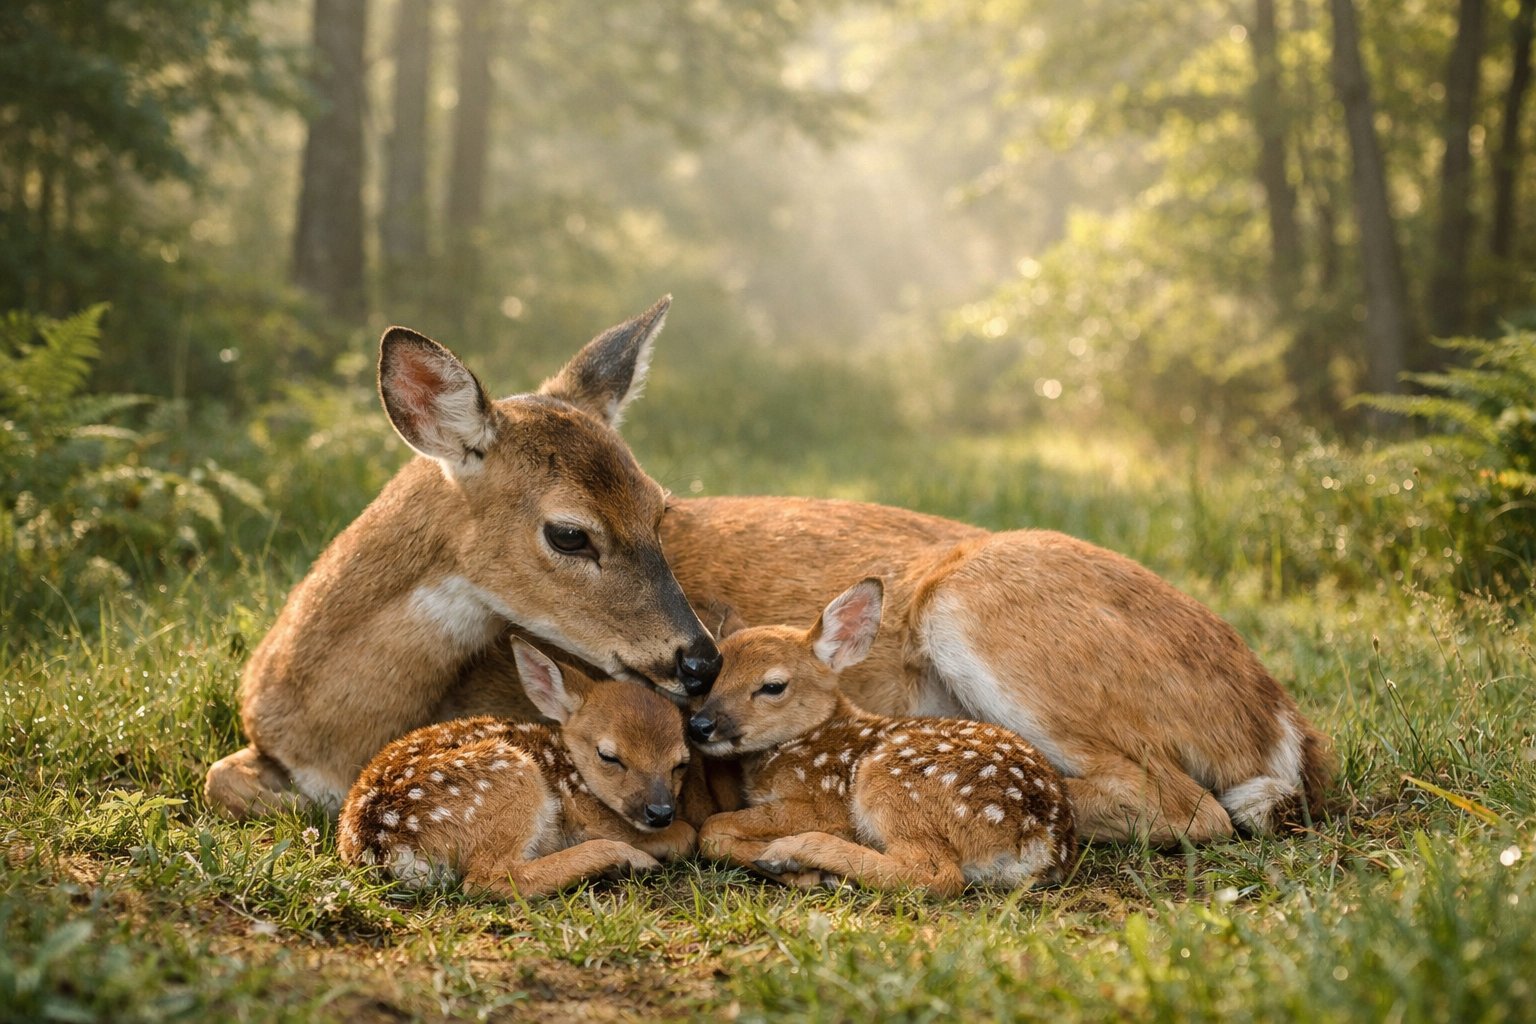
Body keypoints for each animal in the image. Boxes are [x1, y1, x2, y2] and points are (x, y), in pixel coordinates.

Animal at [206, 296, 1331, 847]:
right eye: (569, 533)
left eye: (661, 506)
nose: (700, 661)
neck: (331, 711)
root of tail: (1281, 719)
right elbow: (224, 779)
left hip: (994, 607)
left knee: (1174, 804)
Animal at [337, 641, 696, 896]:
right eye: (609, 756)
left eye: (681, 764)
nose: (660, 812)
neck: (569, 762)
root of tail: (384, 844)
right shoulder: (588, 815)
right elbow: (685, 834)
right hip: (512, 778)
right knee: (490, 879)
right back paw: (628, 860)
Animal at [689, 579, 1075, 895]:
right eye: (711, 679)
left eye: (773, 686)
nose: (699, 725)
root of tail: (1039, 839)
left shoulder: (820, 803)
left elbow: (711, 829)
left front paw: (795, 869)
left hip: (894, 781)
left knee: (936, 875)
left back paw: (794, 853)